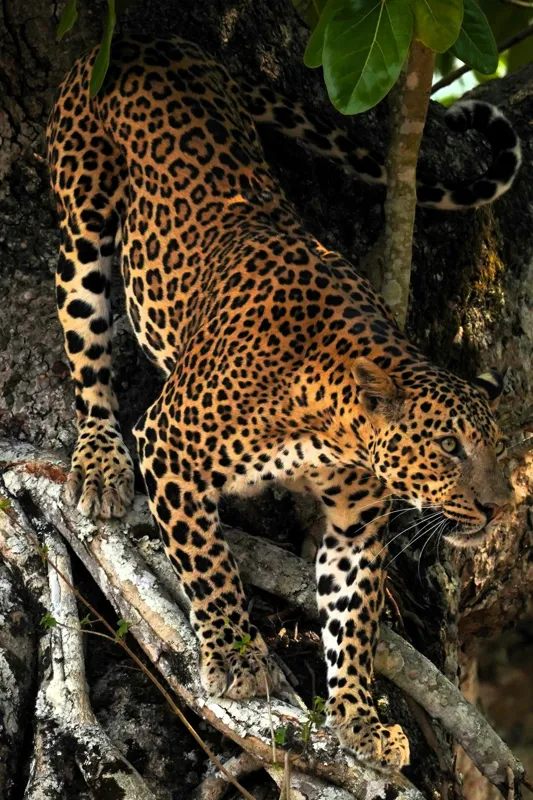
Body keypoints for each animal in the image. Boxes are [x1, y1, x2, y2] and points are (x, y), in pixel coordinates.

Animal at [47, 34, 518, 770]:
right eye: (449, 446)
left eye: (498, 451)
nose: (500, 509)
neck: (330, 422)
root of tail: (148, 40)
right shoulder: (168, 445)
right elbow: (207, 563)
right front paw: (234, 657)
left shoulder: (355, 525)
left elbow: (351, 624)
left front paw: (359, 719)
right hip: (83, 216)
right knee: (84, 341)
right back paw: (98, 463)